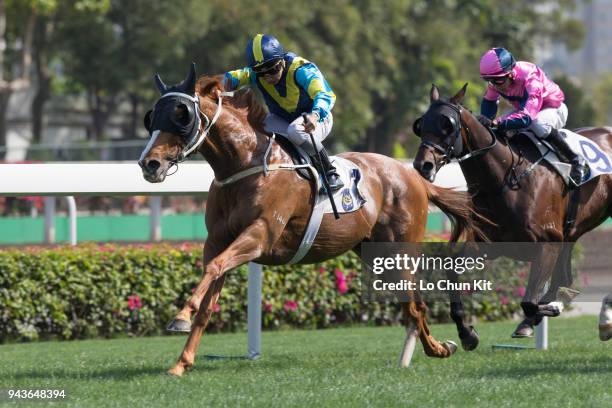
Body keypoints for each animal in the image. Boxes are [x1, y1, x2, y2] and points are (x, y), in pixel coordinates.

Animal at [140, 66, 488, 376]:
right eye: (152, 117)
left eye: (181, 115)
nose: (149, 163)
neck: (245, 165)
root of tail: (413, 175)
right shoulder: (217, 241)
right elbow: (209, 297)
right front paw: (181, 361)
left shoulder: (260, 235)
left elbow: (214, 269)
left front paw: (180, 316)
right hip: (373, 251)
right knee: (412, 305)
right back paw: (441, 348)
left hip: (400, 249)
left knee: (415, 304)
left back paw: (446, 345)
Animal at [412, 85, 612, 342]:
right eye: (421, 124)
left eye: (447, 125)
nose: (423, 165)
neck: (505, 177)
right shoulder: (491, 244)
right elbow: (451, 265)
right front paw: (466, 332)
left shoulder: (548, 243)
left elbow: (530, 302)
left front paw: (549, 309)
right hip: (571, 233)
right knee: (563, 276)